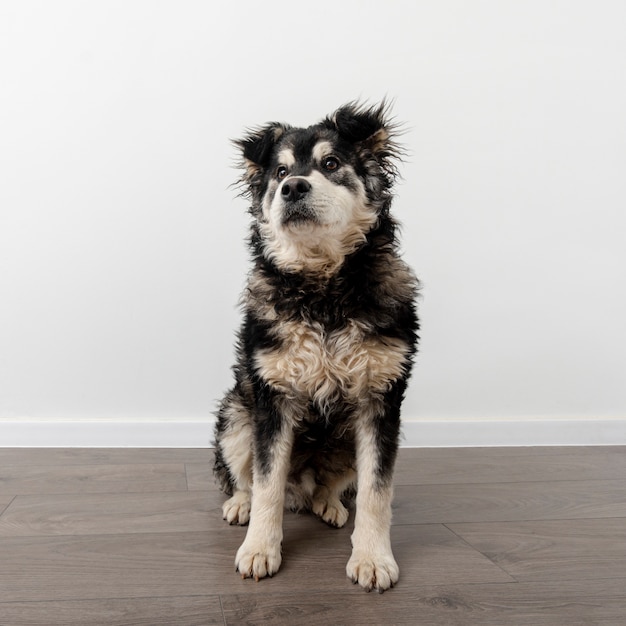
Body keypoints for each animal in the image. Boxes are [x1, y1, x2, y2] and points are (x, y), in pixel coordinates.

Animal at [212, 101, 416, 588]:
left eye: (331, 163)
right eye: (281, 170)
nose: (293, 187)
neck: (323, 292)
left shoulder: (382, 401)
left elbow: (378, 490)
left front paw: (373, 558)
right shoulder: (272, 397)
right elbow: (267, 482)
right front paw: (259, 549)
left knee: (330, 484)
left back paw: (328, 503)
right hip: (236, 415)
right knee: (247, 478)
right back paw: (240, 504)